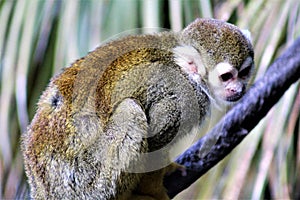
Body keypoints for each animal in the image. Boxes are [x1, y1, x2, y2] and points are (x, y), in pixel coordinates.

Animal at [21, 18, 253, 198]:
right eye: (226, 77)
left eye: (244, 73)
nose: (238, 88)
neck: (188, 74)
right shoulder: (181, 97)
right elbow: (156, 140)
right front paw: (154, 192)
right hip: (86, 182)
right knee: (130, 110)